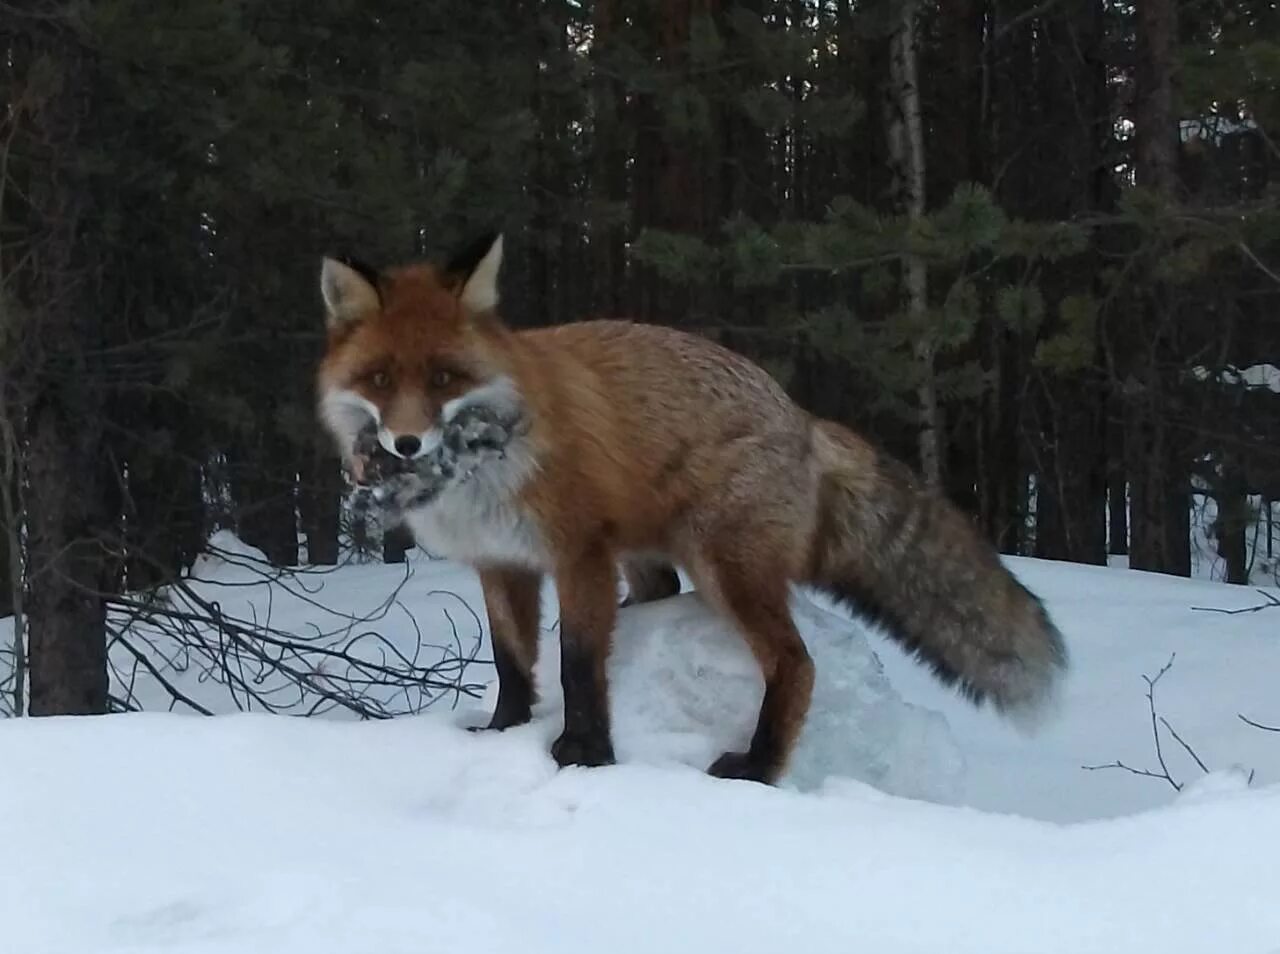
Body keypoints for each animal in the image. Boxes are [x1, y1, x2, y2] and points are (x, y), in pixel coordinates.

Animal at [314, 233, 1064, 783]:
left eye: (444, 378)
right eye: (380, 379)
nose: (407, 444)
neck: (484, 469)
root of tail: (803, 419)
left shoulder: (578, 553)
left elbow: (579, 664)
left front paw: (586, 755)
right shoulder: (501, 562)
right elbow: (513, 665)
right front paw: (503, 734)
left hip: (724, 565)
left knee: (797, 664)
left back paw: (758, 768)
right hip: (655, 558)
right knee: (665, 598)